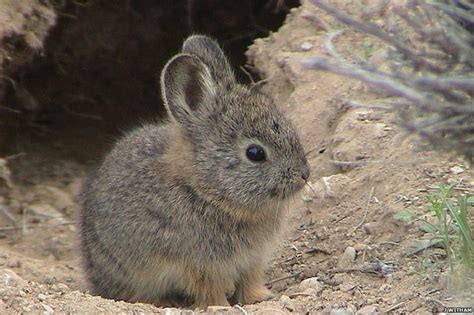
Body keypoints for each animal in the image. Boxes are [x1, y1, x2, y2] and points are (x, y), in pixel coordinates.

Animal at [80, 34, 312, 308]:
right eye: (255, 153)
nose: (304, 174)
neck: (204, 189)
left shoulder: (251, 260)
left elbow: (249, 281)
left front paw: (260, 298)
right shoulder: (200, 265)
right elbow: (210, 290)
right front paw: (221, 306)